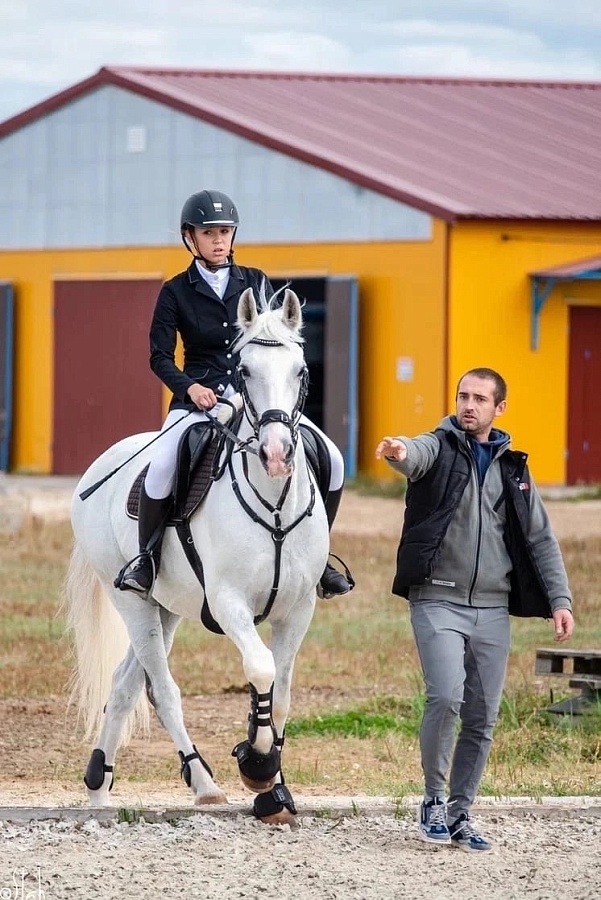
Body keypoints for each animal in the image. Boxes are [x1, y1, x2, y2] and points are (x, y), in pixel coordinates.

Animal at [62, 288, 328, 824]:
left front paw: (276, 793)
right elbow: (261, 668)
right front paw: (257, 766)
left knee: (126, 683)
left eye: (300, 370)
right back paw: (202, 783)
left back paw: (99, 786)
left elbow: (281, 696)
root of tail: (100, 463)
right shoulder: (228, 603)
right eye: (243, 369)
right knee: (162, 690)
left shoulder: (299, 607)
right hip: (134, 601)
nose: (276, 454)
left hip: (165, 607)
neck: (273, 502)